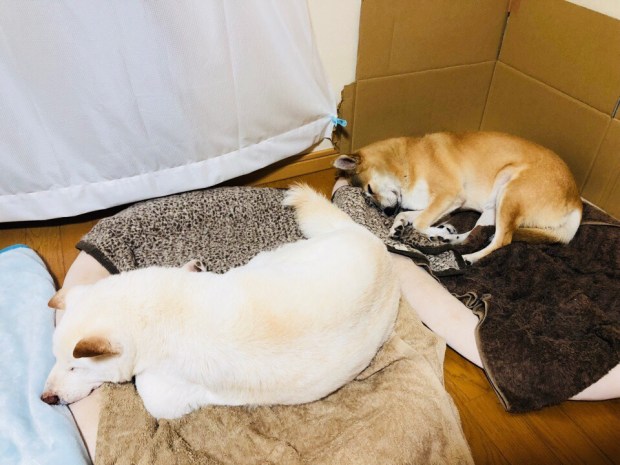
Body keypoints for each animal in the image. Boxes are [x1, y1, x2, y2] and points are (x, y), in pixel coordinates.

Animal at [41, 184, 400, 419]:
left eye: (74, 366)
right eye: (55, 359)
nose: (46, 398)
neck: (155, 304)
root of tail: (370, 238)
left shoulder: (165, 395)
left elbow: (147, 389)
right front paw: (191, 267)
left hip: (271, 259)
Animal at [334, 131, 583, 263]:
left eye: (369, 189)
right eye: (368, 199)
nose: (385, 212)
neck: (405, 165)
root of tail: (577, 202)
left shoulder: (450, 196)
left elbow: (421, 221)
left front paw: (420, 227)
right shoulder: (436, 204)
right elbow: (409, 215)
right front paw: (399, 226)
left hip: (510, 193)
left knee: (502, 239)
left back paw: (469, 256)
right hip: (494, 207)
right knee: (478, 233)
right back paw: (447, 237)